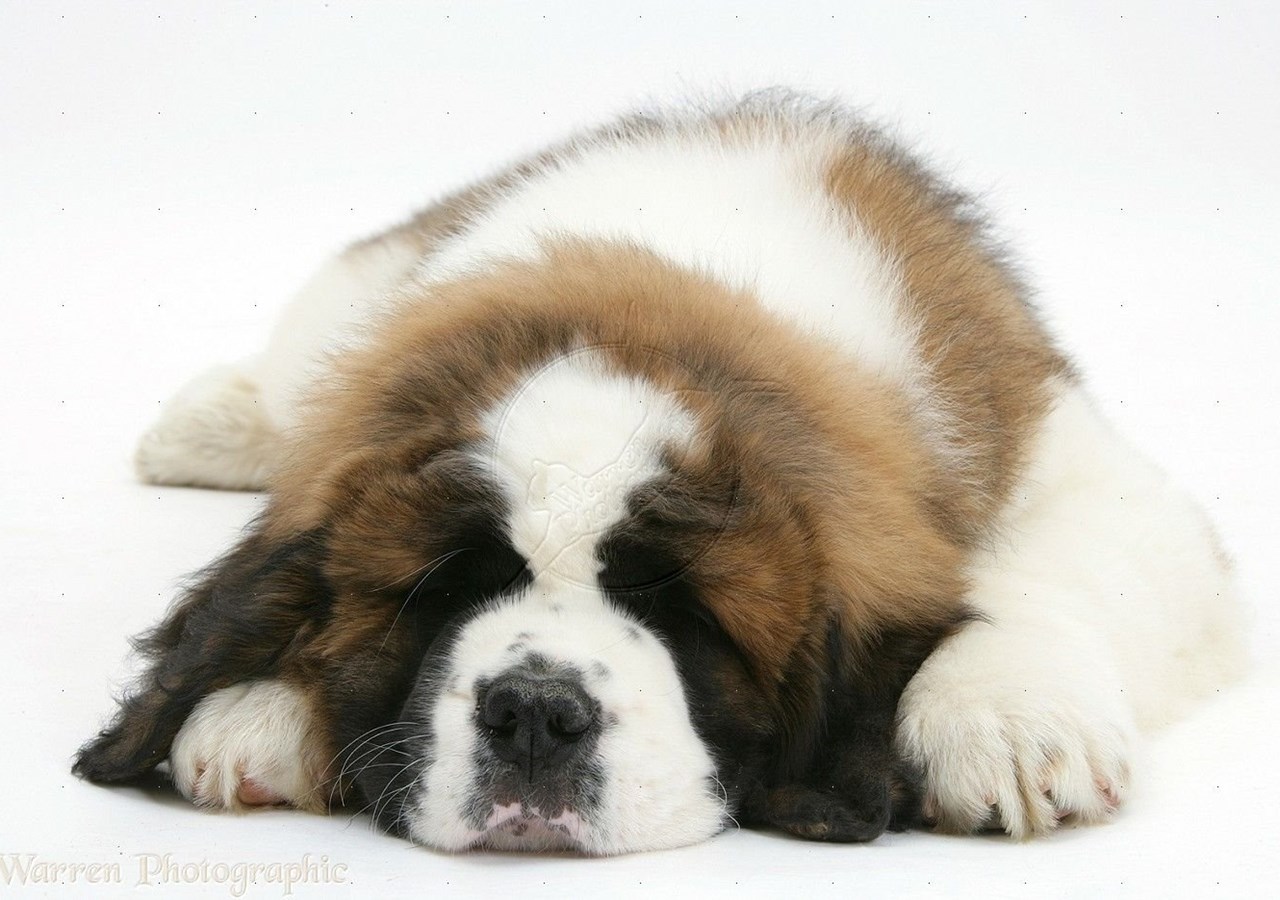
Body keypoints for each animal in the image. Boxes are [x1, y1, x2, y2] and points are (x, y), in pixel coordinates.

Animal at [74, 91, 1246, 854]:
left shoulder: (1082, 468)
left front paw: (1002, 716)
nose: (533, 713)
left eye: (684, 614)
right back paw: (209, 425)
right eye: (446, 590)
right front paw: (261, 705)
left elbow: (1035, 572)